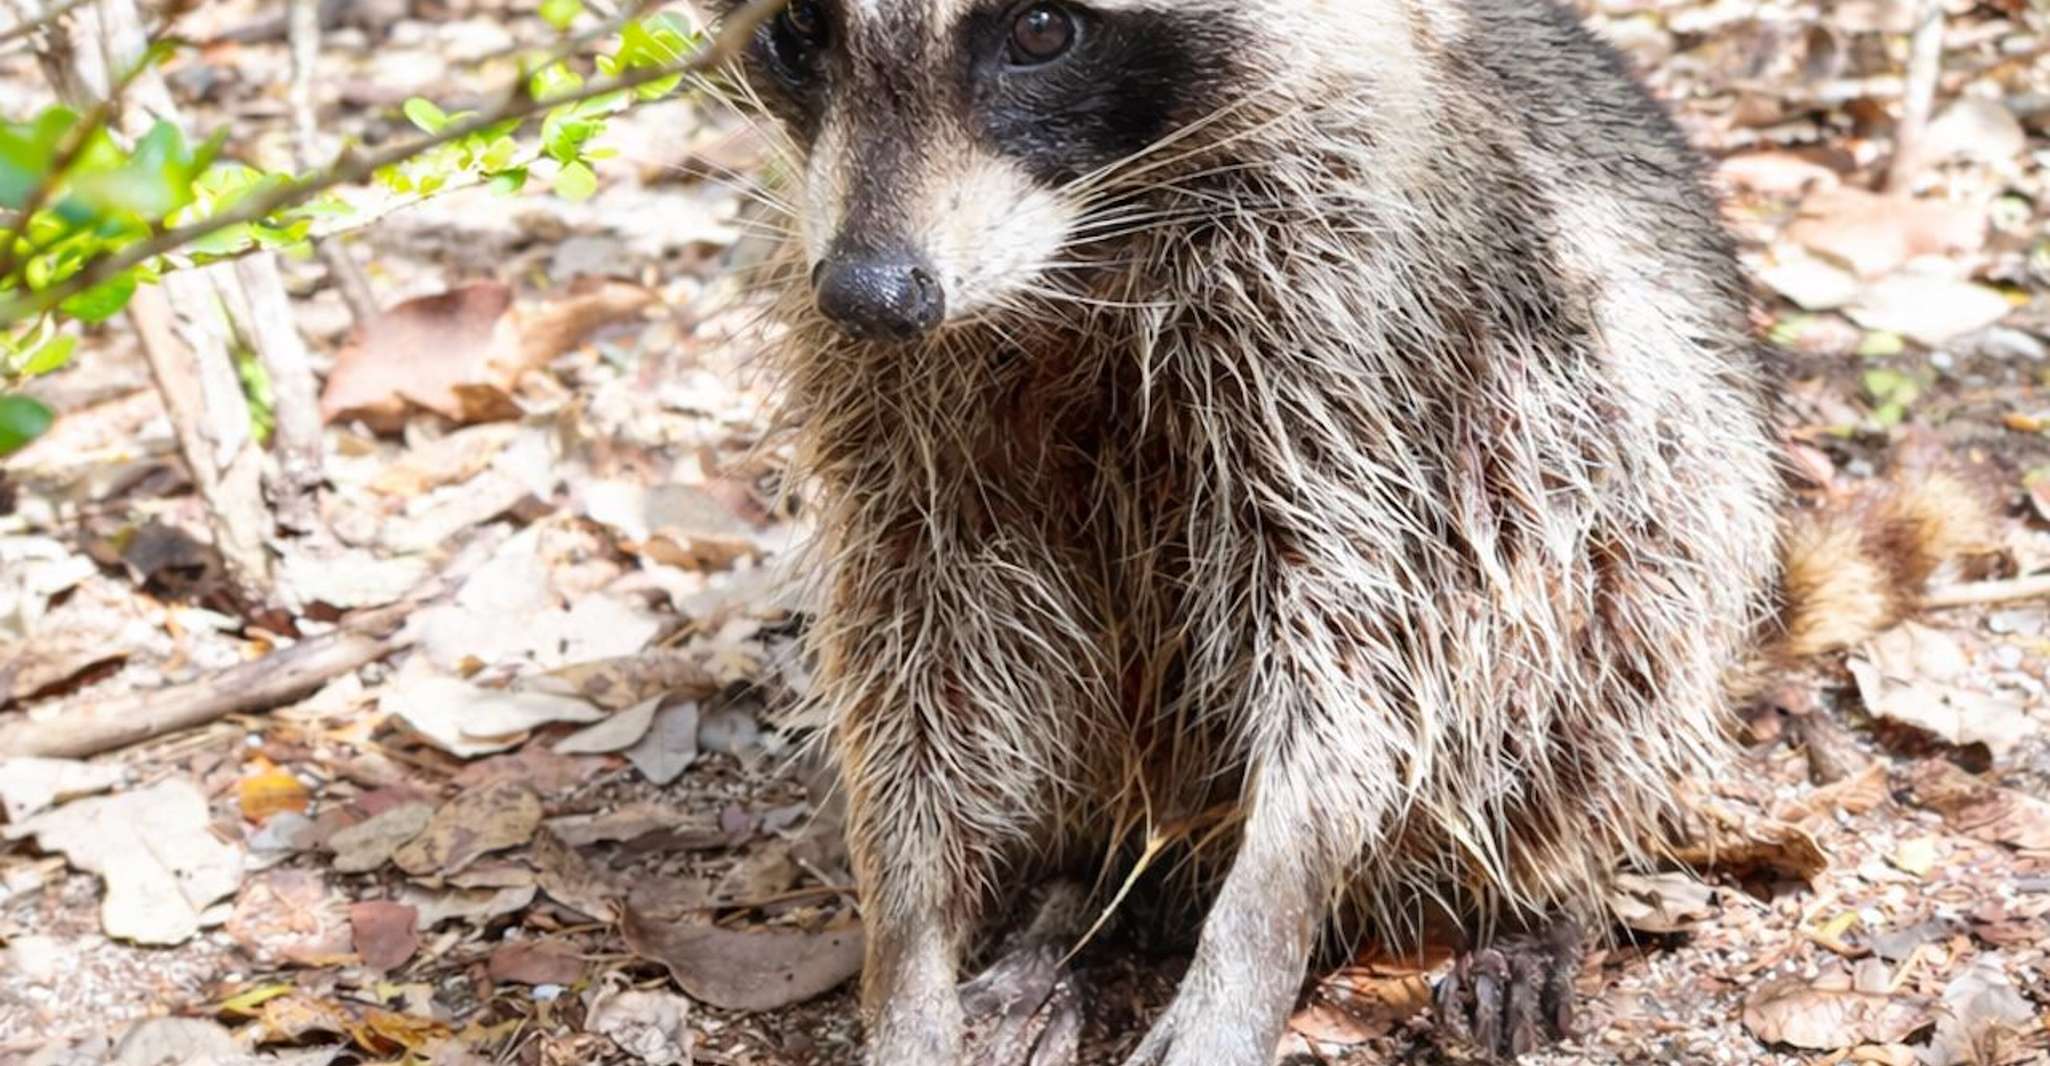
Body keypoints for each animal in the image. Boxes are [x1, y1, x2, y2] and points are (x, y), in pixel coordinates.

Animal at [703, 0, 1984, 1062]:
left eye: (1041, 30)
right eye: (800, 30)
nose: (872, 293)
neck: (1080, 254)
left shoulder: (1361, 325)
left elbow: (1364, 644)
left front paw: (1260, 922)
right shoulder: (893, 397)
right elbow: (916, 644)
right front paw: (908, 935)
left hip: (1655, 470)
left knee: (1596, 620)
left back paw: (1538, 889)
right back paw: (1069, 901)